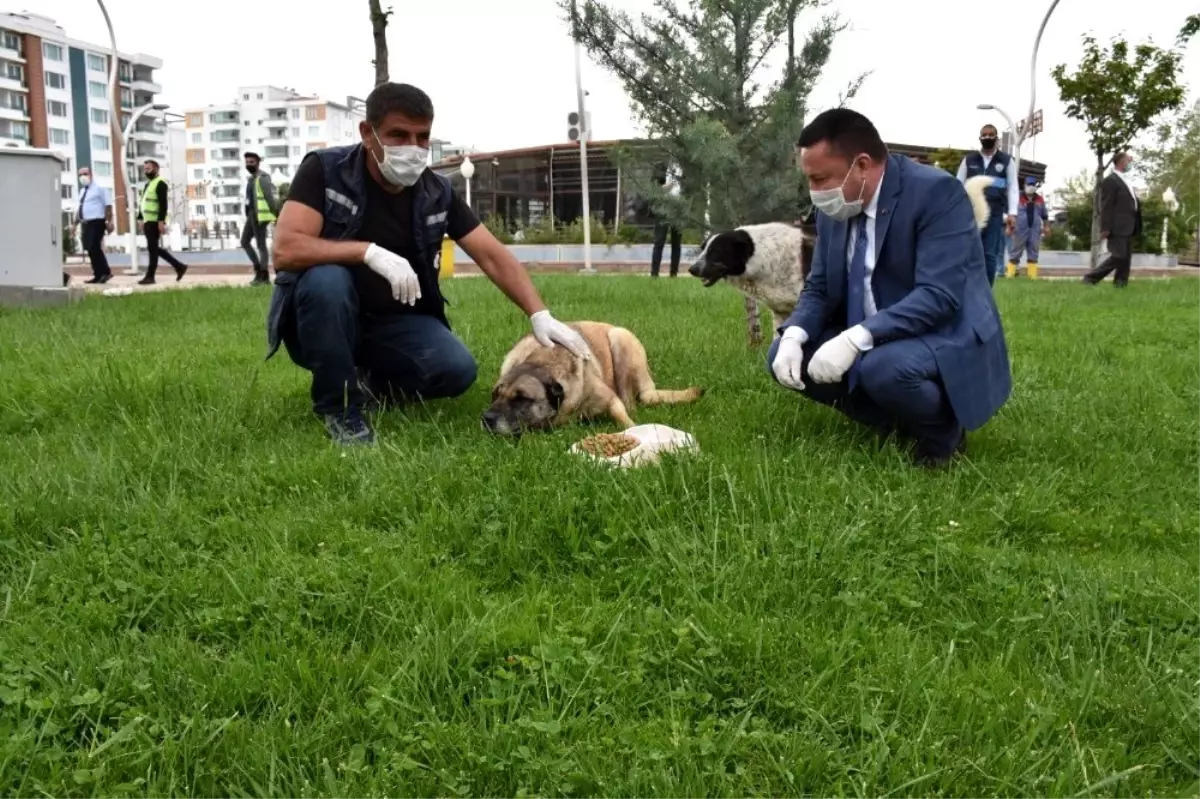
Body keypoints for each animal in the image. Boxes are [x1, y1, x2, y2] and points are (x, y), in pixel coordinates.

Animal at [480, 321, 700, 436]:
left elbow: (622, 416)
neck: (543, 363)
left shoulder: (610, 399)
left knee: (635, 399)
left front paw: (633, 429)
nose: (486, 418)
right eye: (495, 395)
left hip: (621, 339)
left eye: (522, 398)